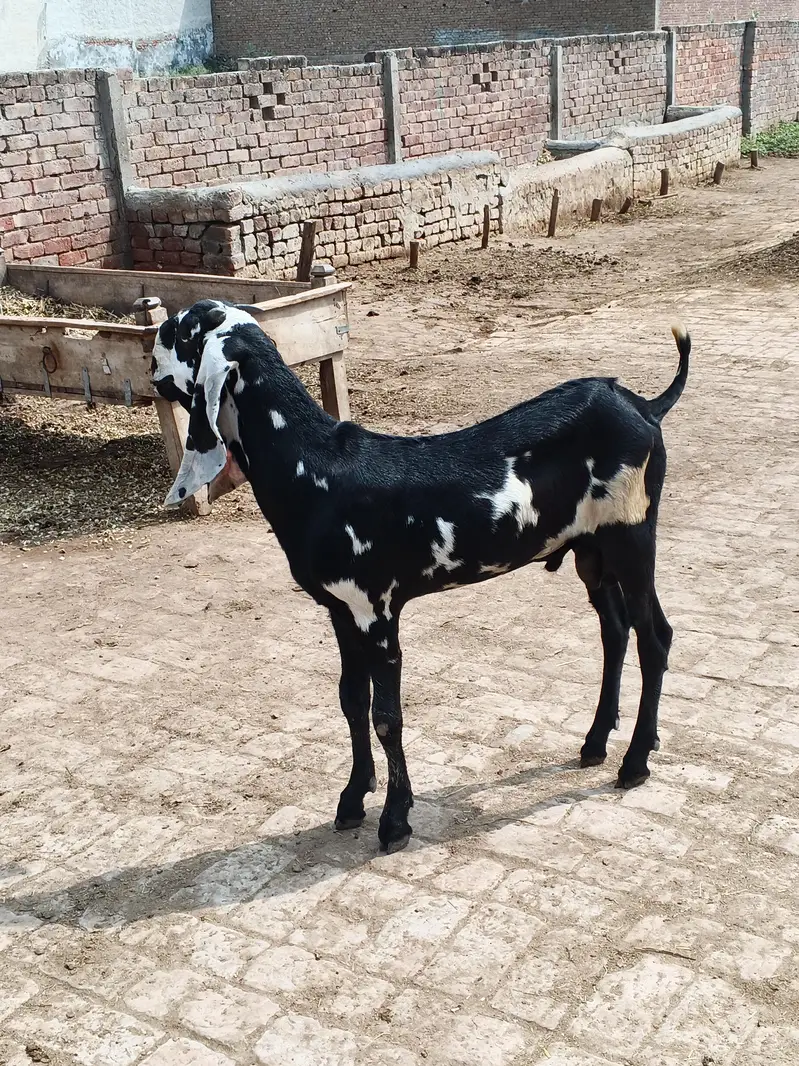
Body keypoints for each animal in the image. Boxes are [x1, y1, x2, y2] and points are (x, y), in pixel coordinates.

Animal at [151, 300, 690, 853]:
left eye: (181, 330)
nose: (151, 342)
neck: (315, 469)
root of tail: (645, 407)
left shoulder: (378, 610)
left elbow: (387, 717)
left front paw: (395, 821)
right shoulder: (341, 610)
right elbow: (351, 701)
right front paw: (352, 799)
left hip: (632, 536)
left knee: (655, 637)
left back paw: (635, 761)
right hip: (591, 550)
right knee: (615, 631)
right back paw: (596, 742)